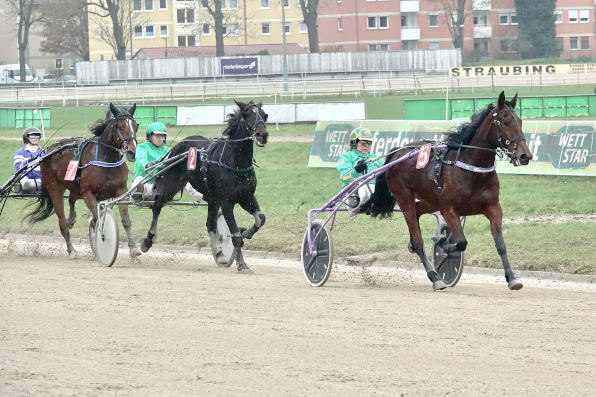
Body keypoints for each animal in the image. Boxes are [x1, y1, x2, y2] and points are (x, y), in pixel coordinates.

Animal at [25, 103, 140, 256]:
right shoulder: (88, 194)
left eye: (135, 126)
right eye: (119, 126)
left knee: (71, 199)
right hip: (54, 186)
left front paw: (133, 248)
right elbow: (97, 219)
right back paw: (71, 249)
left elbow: (125, 220)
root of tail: (48, 151)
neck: (105, 158)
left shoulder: (121, 191)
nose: (132, 152)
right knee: (62, 221)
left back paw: (72, 220)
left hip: (73, 186)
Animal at [141, 100, 268, 270]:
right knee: (157, 205)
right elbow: (235, 235)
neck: (236, 163)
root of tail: (178, 146)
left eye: (264, 115)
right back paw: (148, 240)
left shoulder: (246, 197)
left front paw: (246, 232)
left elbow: (260, 218)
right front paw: (242, 264)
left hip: (212, 198)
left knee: (210, 224)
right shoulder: (227, 202)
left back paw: (220, 254)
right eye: (247, 115)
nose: (262, 135)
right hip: (171, 186)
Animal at [356, 93, 532, 290]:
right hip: (404, 198)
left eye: (520, 121)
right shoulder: (449, 209)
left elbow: (500, 244)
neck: (471, 167)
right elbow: (461, 241)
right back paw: (435, 277)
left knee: (417, 218)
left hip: (430, 201)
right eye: (505, 121)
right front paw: (443, 244)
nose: (525, 156)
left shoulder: (493, 207)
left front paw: (512, 278)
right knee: (418, 240)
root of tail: (397, 153)